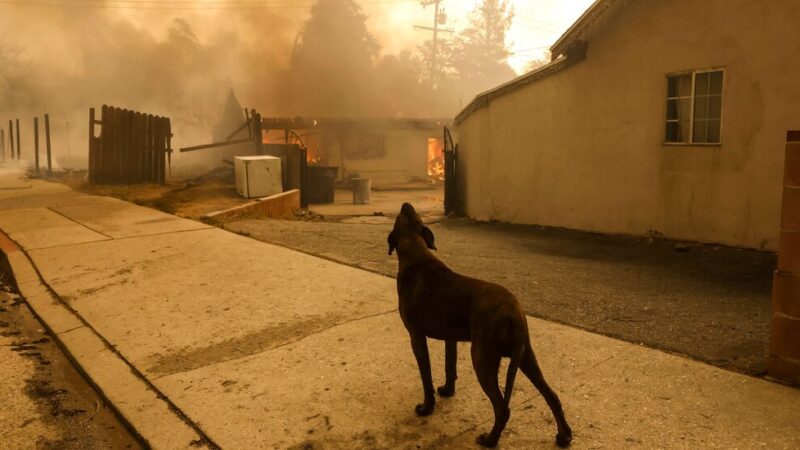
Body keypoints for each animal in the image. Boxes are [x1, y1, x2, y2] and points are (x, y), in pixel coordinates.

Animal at [390, 203, 572, 446]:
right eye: (411, 215)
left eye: (400, 216)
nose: (406, 204)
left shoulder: (417, 337)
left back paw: (490, 440)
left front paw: (427, 408)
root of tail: (512, 312)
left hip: (482, 358)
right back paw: (564, 434)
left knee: (502, 408)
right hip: (525, 356)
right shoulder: (450, 338)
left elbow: (426, 377)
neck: (416, 251)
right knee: (552, 395)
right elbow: (450, 366)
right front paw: (447, 390)